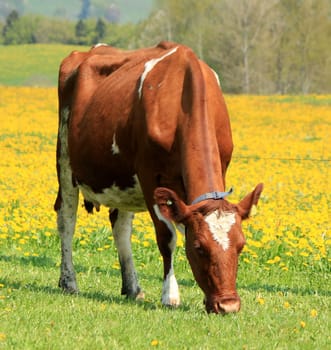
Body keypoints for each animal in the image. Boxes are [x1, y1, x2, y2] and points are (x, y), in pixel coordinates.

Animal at [54, 41, 264, 314]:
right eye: (199, 248)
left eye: (241, 244)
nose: (228, 305)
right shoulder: (149, 177)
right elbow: (167, 237)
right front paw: (170, 295)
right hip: (65, 160)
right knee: (66, 219)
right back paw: (69, 281)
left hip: (122, 179)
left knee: (121, 227)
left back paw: (132, 287)